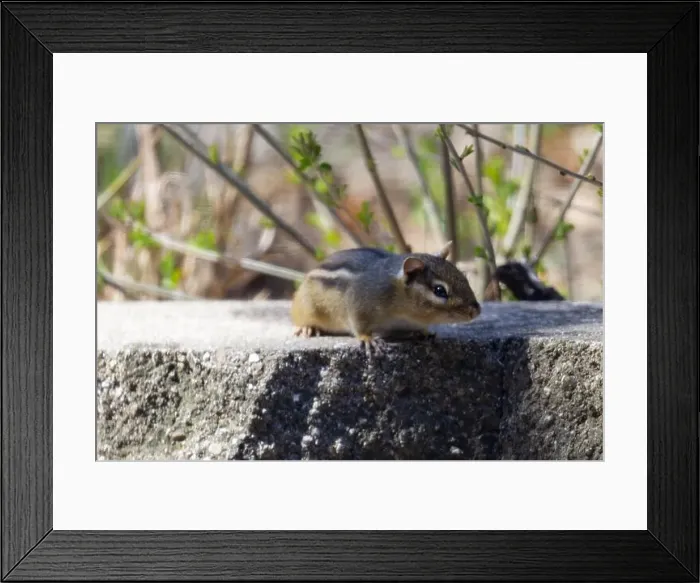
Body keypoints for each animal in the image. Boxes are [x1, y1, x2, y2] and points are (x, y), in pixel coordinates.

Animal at [290, 241, 481, 356]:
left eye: (464, 277)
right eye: (440, 290)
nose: (476, 310)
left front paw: (425, 333)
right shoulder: (359, 306)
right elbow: (359, 326)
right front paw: (368, 339)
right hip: (306, 306)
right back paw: (307, 327)